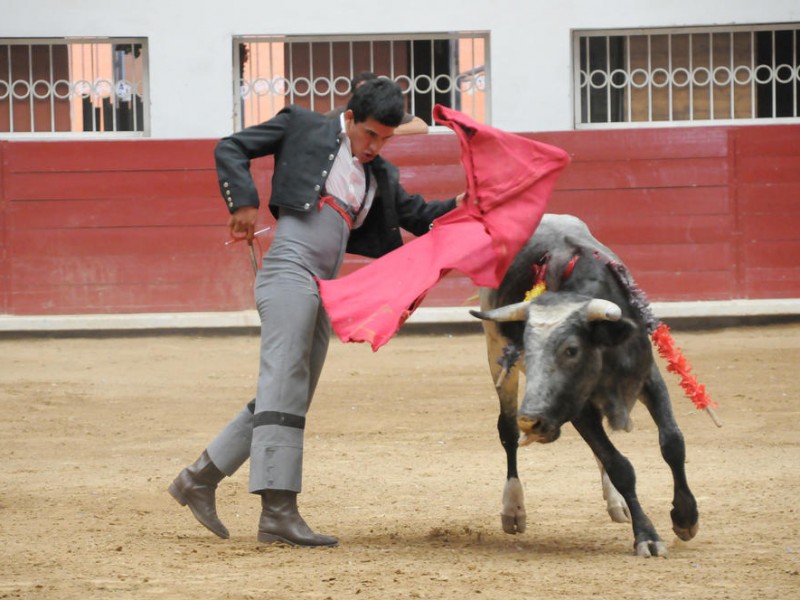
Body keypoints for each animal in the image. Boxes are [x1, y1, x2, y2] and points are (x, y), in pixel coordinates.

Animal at [472, 212, 696, 556]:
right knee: (508, 431)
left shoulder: (649, 378)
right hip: (496, 356)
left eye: (571, 349)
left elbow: (672, 442)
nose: (531, 421)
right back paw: (513, 509)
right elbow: (619, 464)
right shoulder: (577, 408)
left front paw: (685, 517)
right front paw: (646, 535)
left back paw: (616, 504)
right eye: (526, 348)